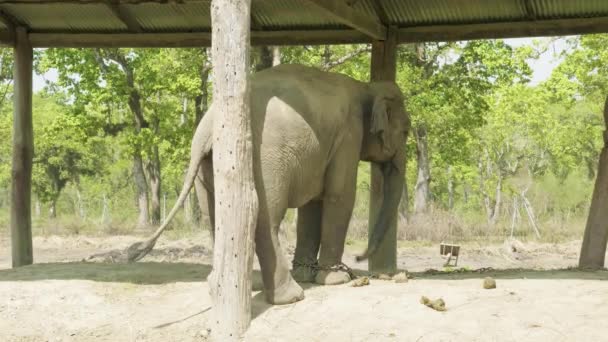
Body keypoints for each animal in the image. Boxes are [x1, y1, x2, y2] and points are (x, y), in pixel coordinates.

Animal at [128, 64, 414, 304]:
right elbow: (339, 196)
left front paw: (308, 274)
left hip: (206, 169)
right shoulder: (348, 135)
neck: (366, 86)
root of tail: (208, 126)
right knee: (266, 219)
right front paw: (336, 279)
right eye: (406, 132)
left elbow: (312, 204)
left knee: (215, 220)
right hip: (266, 160)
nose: (357, 259)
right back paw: (290, 296)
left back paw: (226, 287)